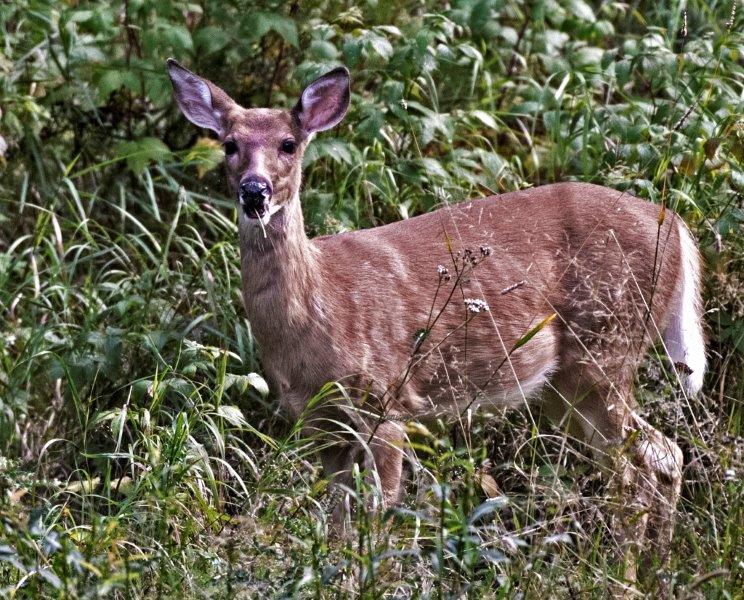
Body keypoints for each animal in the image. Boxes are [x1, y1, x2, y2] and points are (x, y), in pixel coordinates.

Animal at [167, 59, 706, 582]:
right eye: (230, 144)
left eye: (288, 143)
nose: (253, 192)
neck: (319, 313)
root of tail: (678, 227)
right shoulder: (321, 422)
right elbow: (339, 522)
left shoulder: (385, 401)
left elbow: (378, 515)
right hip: (565, 383)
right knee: (663, 455)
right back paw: (657, 572)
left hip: (608, 345)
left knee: (638, 467)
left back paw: (628, 575)